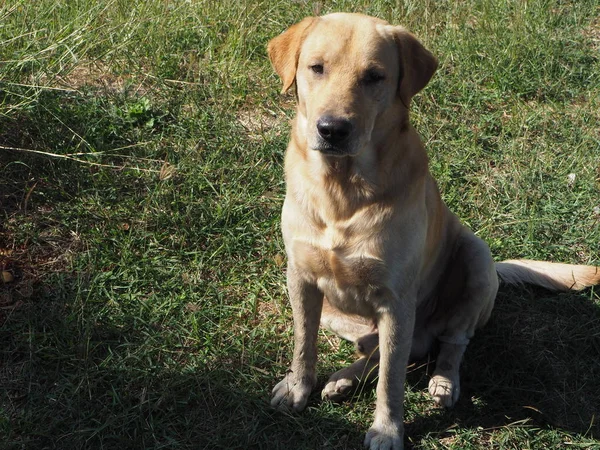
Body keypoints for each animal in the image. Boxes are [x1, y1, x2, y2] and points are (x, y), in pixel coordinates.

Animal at [268, 12, 600, 448]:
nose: (332, 129)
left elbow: (391, 381)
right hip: (337, 313)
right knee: (381, 351)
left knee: (448, 343)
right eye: (316, 68)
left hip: (476, 257)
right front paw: (297, 389)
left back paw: (443, 382)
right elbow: (303, 344)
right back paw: (343, 380)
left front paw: (387, 430)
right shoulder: (301, 278)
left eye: (374, 76)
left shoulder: (396, 301)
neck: (342, 190)